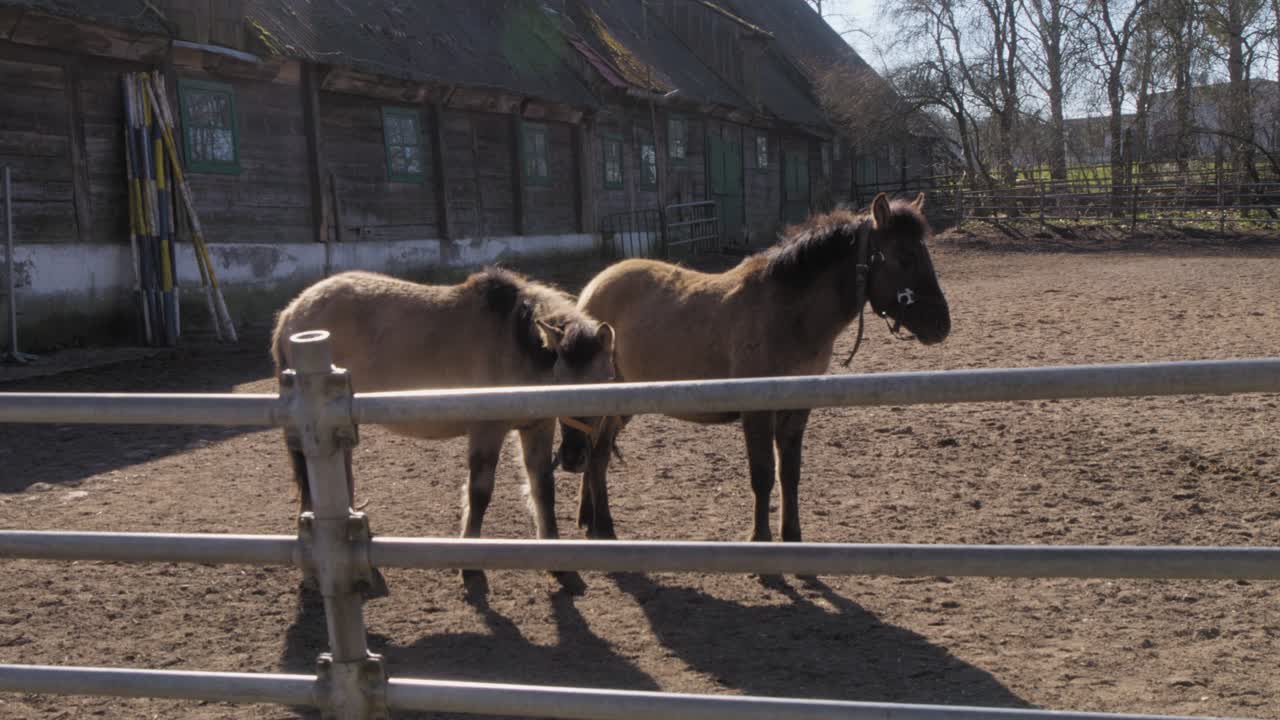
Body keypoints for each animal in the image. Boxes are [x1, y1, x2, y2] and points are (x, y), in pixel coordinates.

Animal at [272, 268, 615, 592]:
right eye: (561, 379)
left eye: (605, 382)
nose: (574, 457)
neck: (514, 343)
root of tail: (291, 312)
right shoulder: (487, 431)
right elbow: (479, 494)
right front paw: (471, 569)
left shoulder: (537, 428)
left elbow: (542, 489)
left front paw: (561, 567)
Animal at [558, 192, 950, 545]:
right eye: (906, 256)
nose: (941, 324)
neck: (787, 314)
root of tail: (593, 288)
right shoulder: (757, 411)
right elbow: (762, 475)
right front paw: (760, 538)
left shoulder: (797, 409)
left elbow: (789, 473)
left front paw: (792, 535)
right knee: (598, 456)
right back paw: (603, 526)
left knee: (596, 454)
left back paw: (587, 517)